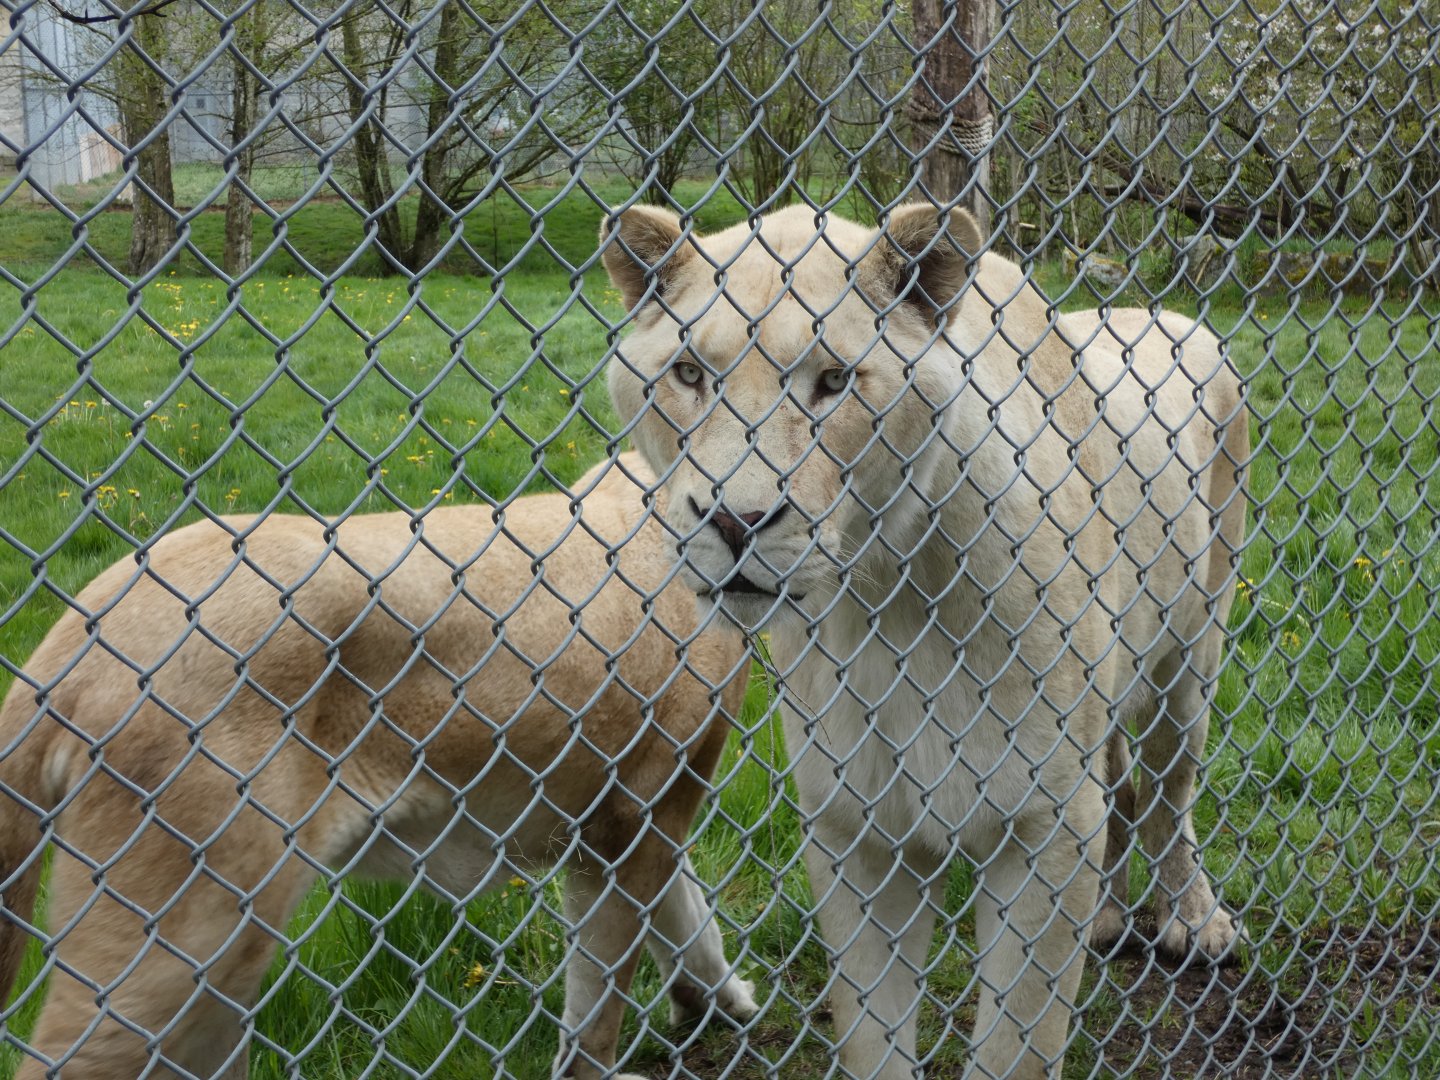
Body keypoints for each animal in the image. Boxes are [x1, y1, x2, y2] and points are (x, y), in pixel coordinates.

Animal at [0, 453, 758, 1079]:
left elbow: (688, 920)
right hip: (190, 937)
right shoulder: (633, 818)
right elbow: (601, 1006)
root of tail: (68, 647)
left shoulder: (639, 816)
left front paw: (722, 1004)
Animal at [601, 203, 1248, 1078]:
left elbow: (1015, 1044)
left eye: (834, 382)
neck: (885, 599)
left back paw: (1194, 920)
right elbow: (873, 1035)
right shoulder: (855, 828)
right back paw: (1110, 919)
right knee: (1121, 783)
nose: (734, 522)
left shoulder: (1044, 823)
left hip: (1193, 654)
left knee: (1170, 790)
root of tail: (1171, 316)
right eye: (690, 375)